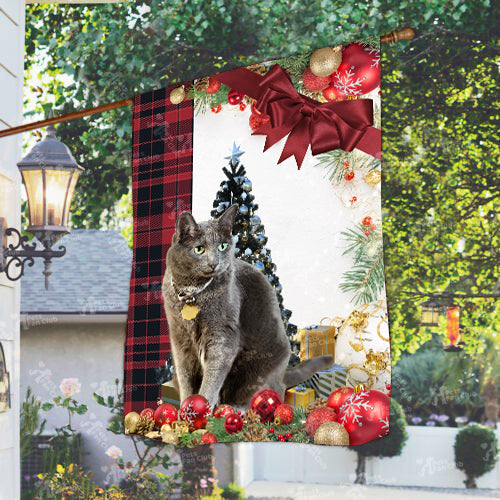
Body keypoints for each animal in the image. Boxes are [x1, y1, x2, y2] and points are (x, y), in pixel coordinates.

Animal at [161, 203, 332, 410]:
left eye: (222, 246)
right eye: (199, 249)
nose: (214, 263)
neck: (192, 294)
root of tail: (283, 373)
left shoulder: (222, 337)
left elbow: (211, 380)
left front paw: (203, 408)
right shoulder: (180, 339)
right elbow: (185, 378)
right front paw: (185, 410)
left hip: (258, 368)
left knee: (270, 392)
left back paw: (237, 408)